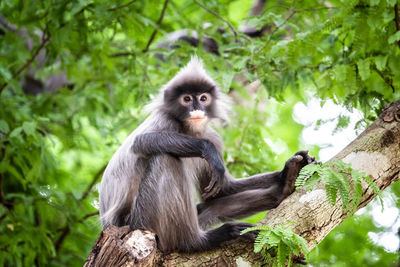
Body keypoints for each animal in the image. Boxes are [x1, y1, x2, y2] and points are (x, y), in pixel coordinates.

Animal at [99, 56, 316, 253]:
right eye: (187, 99)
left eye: (203, 98)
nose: (197, 108)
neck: (190, 131)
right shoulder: (166, 120)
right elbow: (141, 142)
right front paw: (209, 152)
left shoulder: (213, 136)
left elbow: (223, 189)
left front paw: (289, 170)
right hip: (140, 221)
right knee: (165, 158)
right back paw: (195, 242)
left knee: (212, 206)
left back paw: (283, 188)